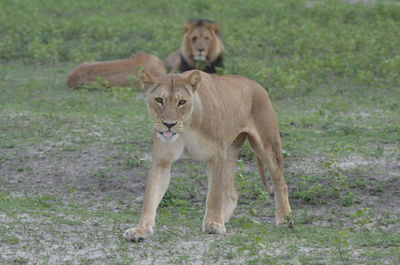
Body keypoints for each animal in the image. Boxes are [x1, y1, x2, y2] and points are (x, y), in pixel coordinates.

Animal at [123, 68, 292, 241]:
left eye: (182, 102)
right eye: (159, 100)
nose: (169, 124)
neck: (187, 126)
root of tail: (256, 85)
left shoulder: (216, 156)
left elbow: (214, 194)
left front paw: (214, 224)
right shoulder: (162, 161)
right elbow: (150, 197)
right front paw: (141, 229)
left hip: (267, 145)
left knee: (281, 183)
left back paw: (284, 219)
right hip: (229, 152)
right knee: (232, 193)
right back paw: (224, 217)